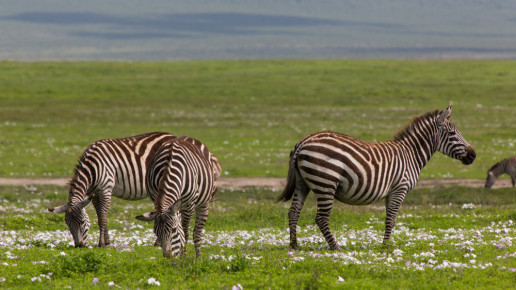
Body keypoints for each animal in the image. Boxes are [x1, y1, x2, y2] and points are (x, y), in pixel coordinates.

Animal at [49, 133, 224, 248]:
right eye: (67, 224)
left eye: (82, 222)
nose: (79, 246)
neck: (92, 167)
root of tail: (174, 136)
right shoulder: (95, 193)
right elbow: (100, 216)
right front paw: (107, 241)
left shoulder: (105, 187)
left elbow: (102, 217)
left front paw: (101, 243)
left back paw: (158, 242)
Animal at [278, 105, 476, 250]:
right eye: (452, 134)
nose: (473, 155)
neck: (410, 154)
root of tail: (303, 141)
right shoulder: (400, 188)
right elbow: (391, 218)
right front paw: (386, 246)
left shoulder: (391, 192)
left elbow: (390, 218)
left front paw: (385, 243)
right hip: (325, 183)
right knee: (321, 218)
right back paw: (335, 247)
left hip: (303, 183)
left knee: (294, 212)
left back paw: (294, 245)